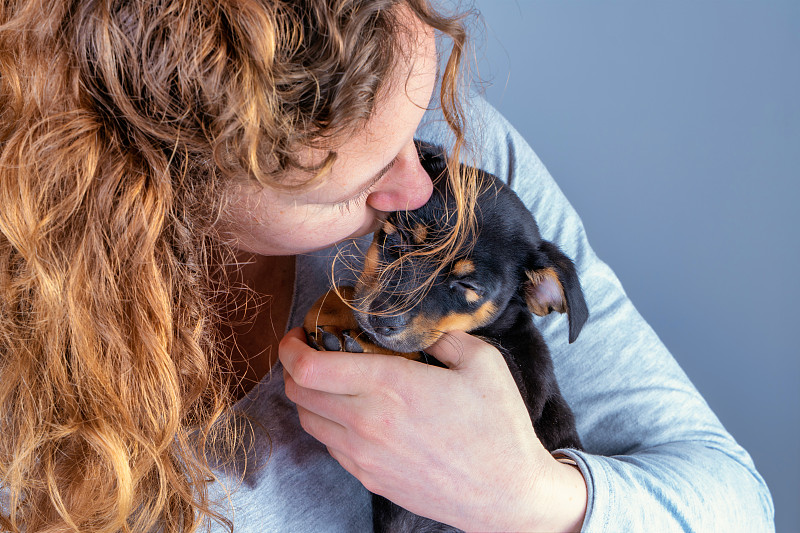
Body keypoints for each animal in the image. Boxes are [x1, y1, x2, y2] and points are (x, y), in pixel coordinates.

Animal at [304, 141, 588, 532]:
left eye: (468, 286)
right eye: (399, 238)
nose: (381, 320)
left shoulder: (520, 384)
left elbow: (420, 352)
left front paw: (352, 337)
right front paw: (334, 311)